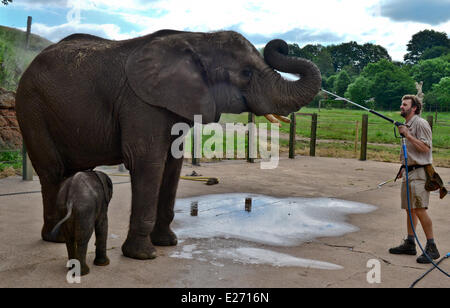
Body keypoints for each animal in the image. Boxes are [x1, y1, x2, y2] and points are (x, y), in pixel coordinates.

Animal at [16, 29, 320, 260]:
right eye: (246, 73)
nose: (280, 43)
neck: (198, 39)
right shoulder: (141, 103)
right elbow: (148, 161)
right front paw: (143, 256)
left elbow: (173, 164)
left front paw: (168, 243)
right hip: (32, 107)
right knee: (53, 170)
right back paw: (54, 239)